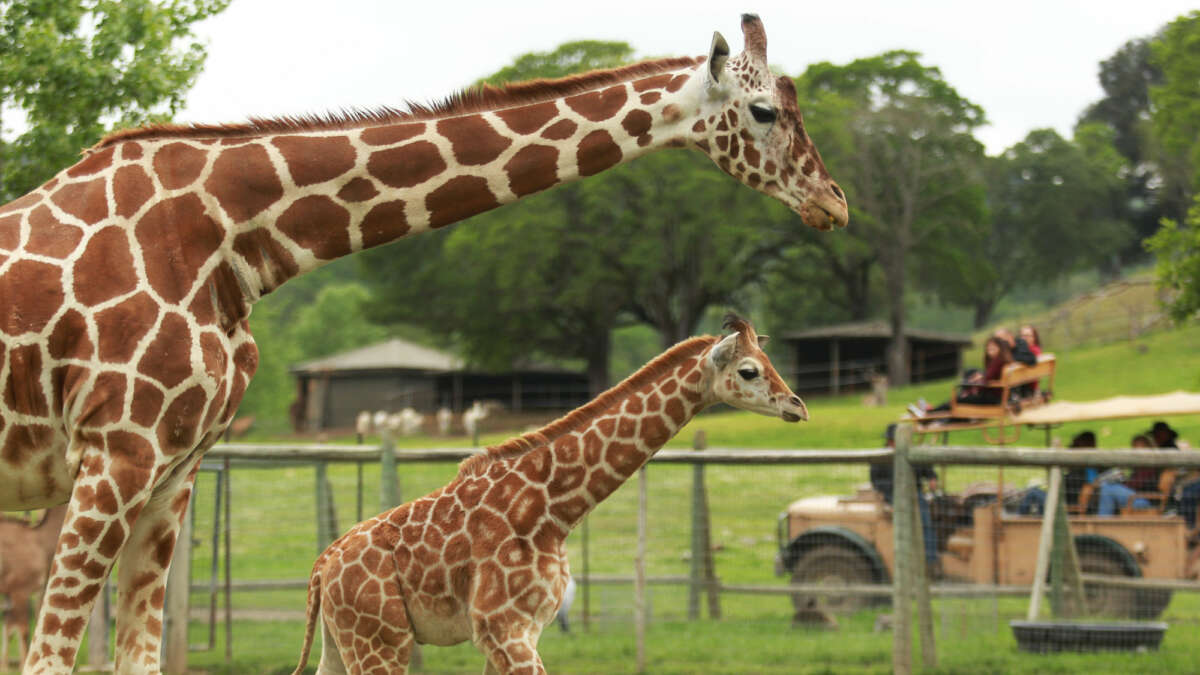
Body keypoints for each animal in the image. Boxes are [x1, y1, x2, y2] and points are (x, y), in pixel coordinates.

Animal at [295, 314, 811, 672]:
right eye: (749, 371)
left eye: (771, 364)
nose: (798, 406)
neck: (554, 510)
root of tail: (322, 567)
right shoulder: (504, 627)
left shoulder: (519, 631)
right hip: (380, 639)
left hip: (342, 641)